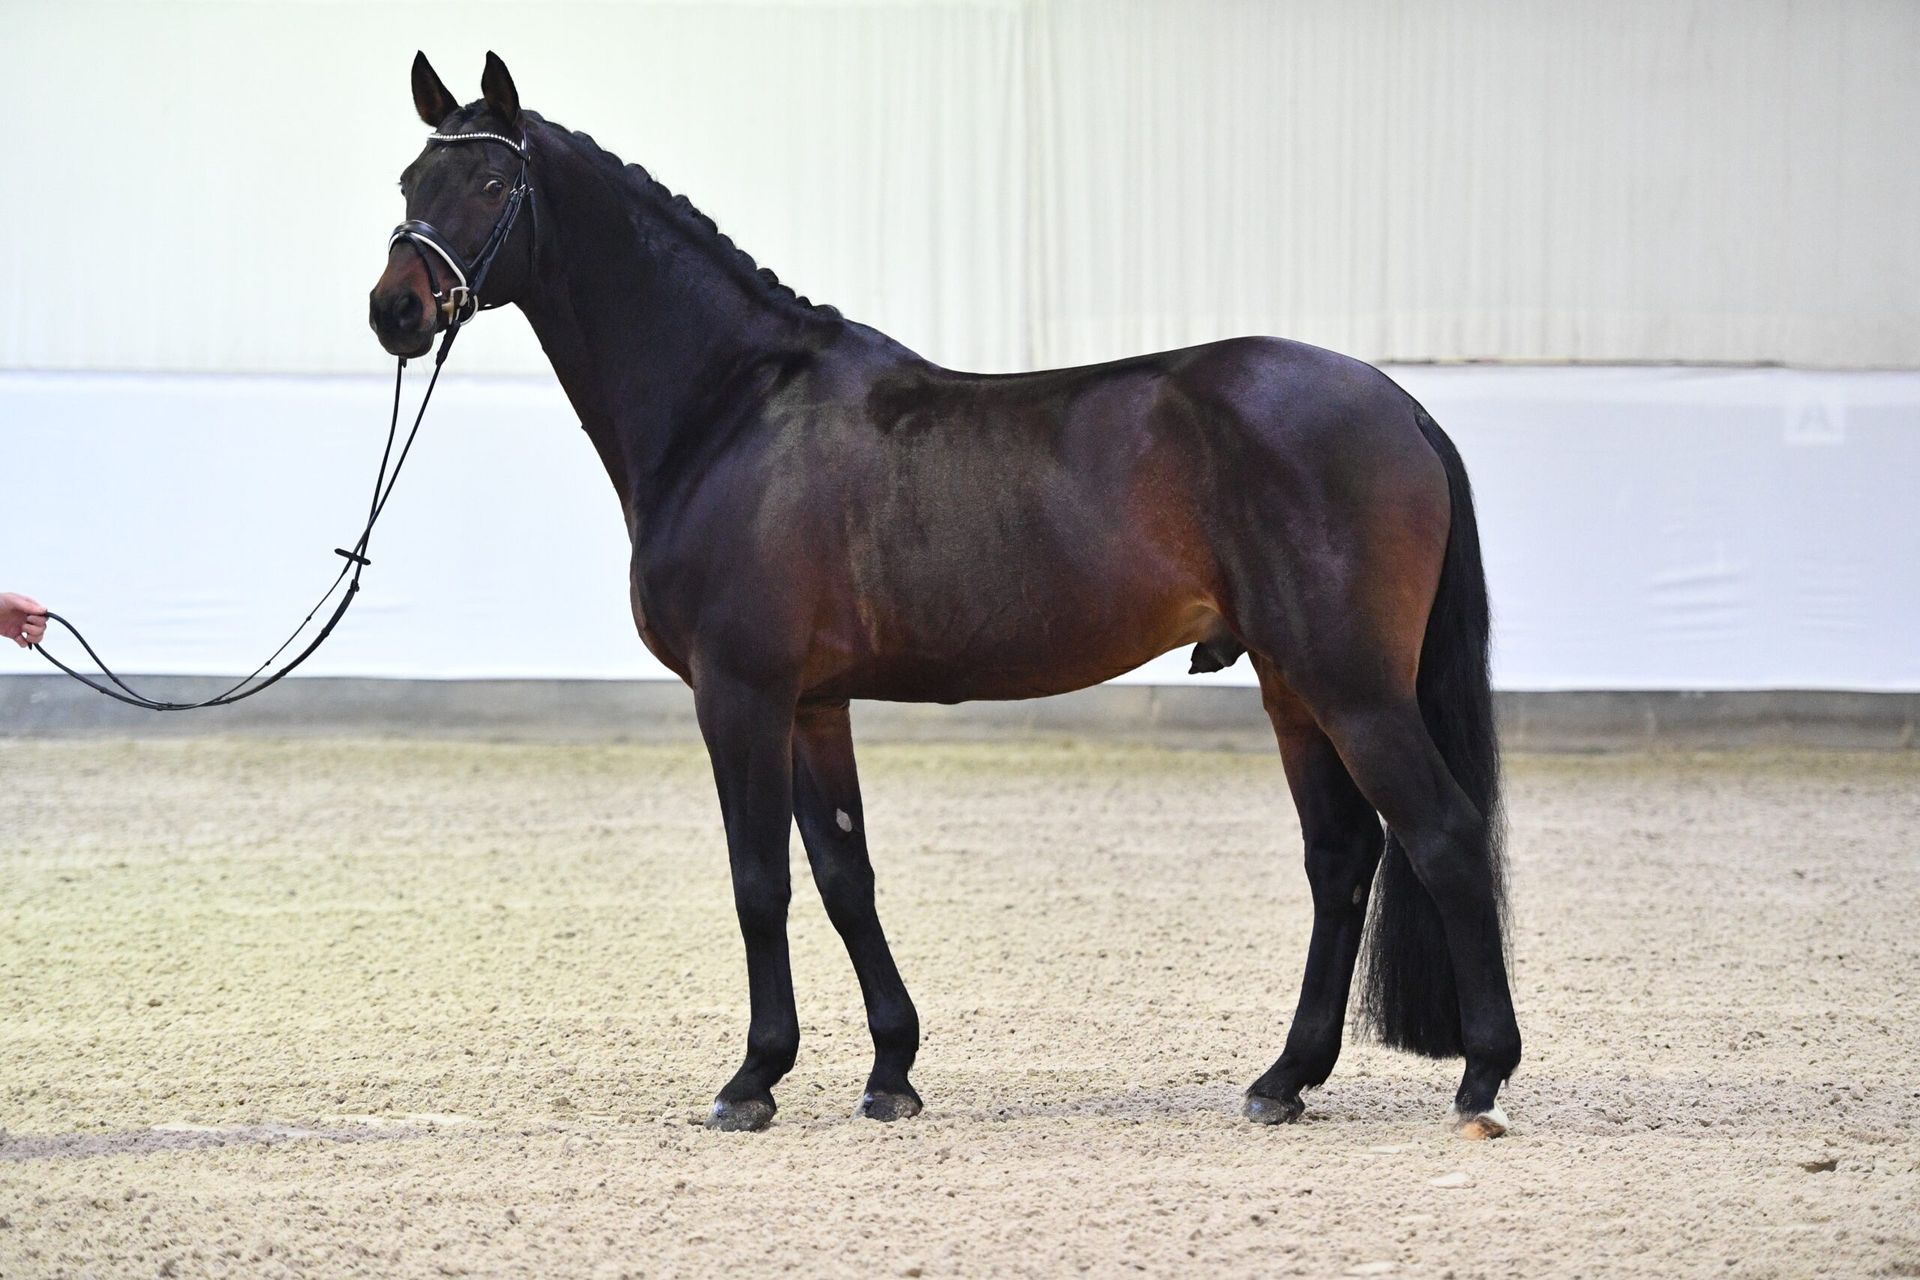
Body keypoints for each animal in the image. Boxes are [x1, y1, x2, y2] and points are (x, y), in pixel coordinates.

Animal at [369, 52, 1521, 1139]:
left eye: (488, 180)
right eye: (410, 179)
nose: (395, 310)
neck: (730, 408)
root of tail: (1404, 406)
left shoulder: (740, 692)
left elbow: (759, 879)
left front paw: (753, 1080)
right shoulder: (811, 702)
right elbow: (844, 872)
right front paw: (891, 1071)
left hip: (1353, 686)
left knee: (1443, 838)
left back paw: (1481, 1079)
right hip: (1293, 685)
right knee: (1342, 857)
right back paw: (1284, 1079)